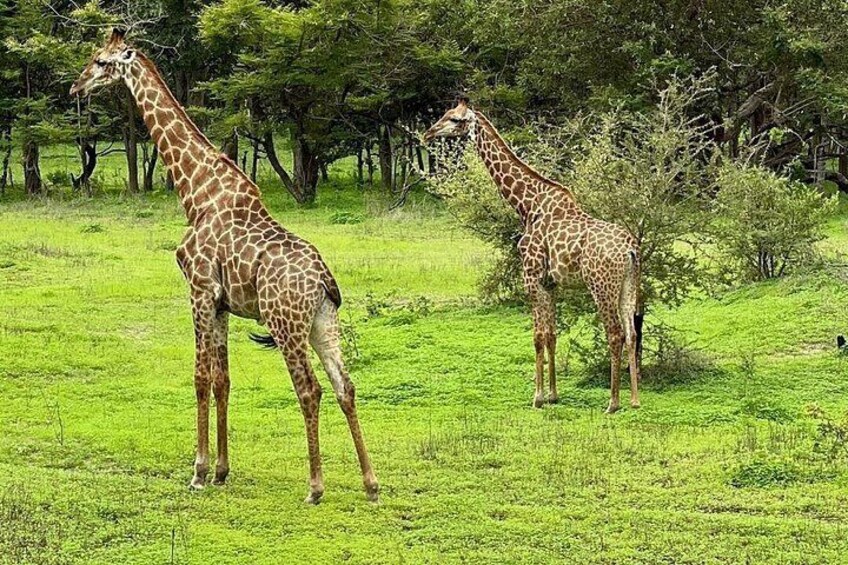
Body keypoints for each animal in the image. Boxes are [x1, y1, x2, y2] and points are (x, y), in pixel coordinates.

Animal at [70, 29, 378, 503]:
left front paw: (198, 471)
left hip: (285, 323)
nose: (75, 87)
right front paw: (221, 470)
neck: (195, 192)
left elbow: (199, 376)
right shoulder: (222, 303)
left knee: (309, 390)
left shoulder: (198, 290)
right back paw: (371, 483)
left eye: (102, 62)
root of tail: (324, 280)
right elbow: (223, 379)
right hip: (323, 322)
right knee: (345, 386)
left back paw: (315, 487)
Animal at [424, 98, 642, 413]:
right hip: (629, 284)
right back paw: (635, 400)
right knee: (632, 332)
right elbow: (552, 335)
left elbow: (537, 336)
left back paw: (612, 403)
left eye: (454, 119)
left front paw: (537, 397)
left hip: (600, 285)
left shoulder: (531, 275)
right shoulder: (550, 283)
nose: (428, 133)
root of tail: (629, 248)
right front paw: (553, 395)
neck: (527, 206)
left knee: (614, 333)